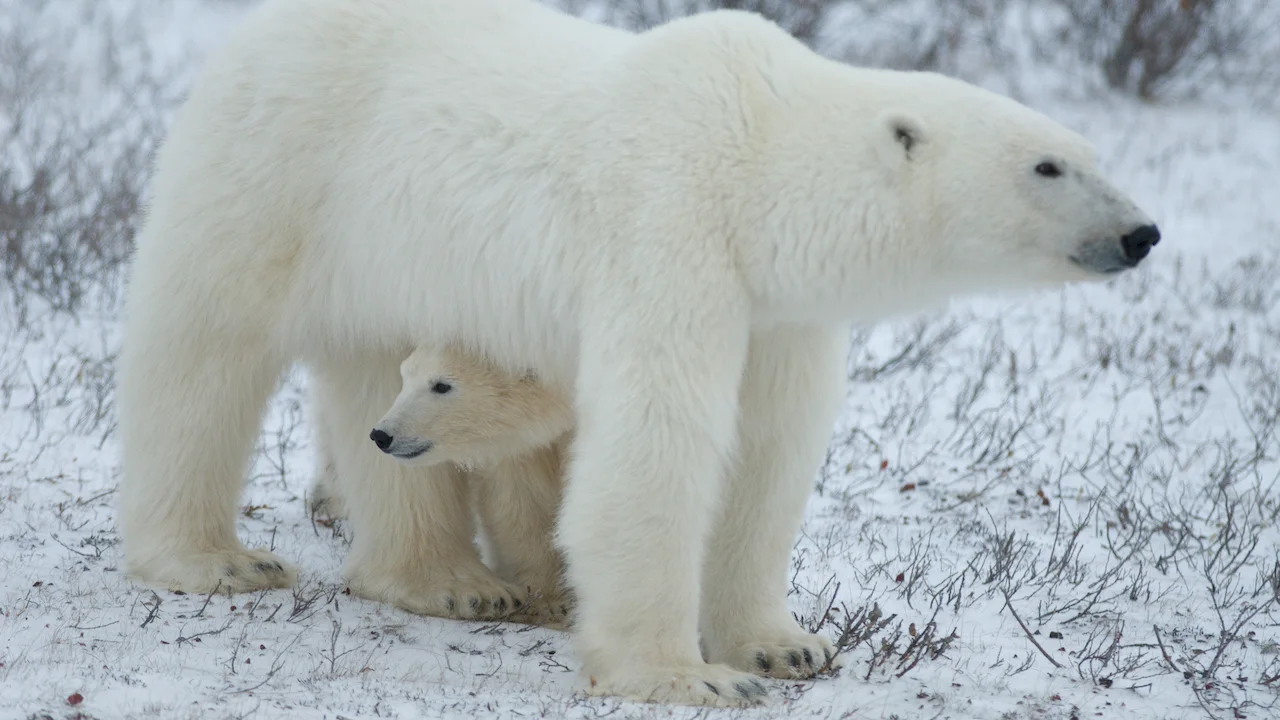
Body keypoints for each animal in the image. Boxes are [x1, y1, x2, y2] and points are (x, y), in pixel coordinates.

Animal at [117, 0, 1162, 707]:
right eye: (1047, 166)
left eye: (1091, 153)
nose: (1142, 232)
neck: (755, 155)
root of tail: (254, 32)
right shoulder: (671, 229)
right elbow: (657, 444)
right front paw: (684, 675)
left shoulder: (776, 311)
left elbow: (768, 454)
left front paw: (785, 647)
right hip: (279, 174)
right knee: (203, 352)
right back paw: (216, 560)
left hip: (381, 262)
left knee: (371, 378)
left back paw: (447, 580)